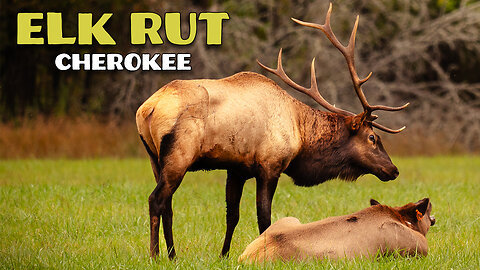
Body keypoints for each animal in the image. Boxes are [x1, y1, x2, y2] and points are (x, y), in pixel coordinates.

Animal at [135, 3, 408, 258]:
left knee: (168, 205)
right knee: (155, 199)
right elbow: (264, 219)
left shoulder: (236, 169)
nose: (393, 169)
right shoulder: (270, 166)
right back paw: (155, 255)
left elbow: (232, 215)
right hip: (179, 155)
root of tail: (147, 108)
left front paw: (224, 255)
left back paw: (173, 255)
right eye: (372, 137)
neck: (300, 132)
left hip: (154, 159)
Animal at [239, 197, 436, 262]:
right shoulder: (417, 250)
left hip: (290, 219)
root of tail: (246, 258)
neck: (401, 218)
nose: (430, 203)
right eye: (426, 212)